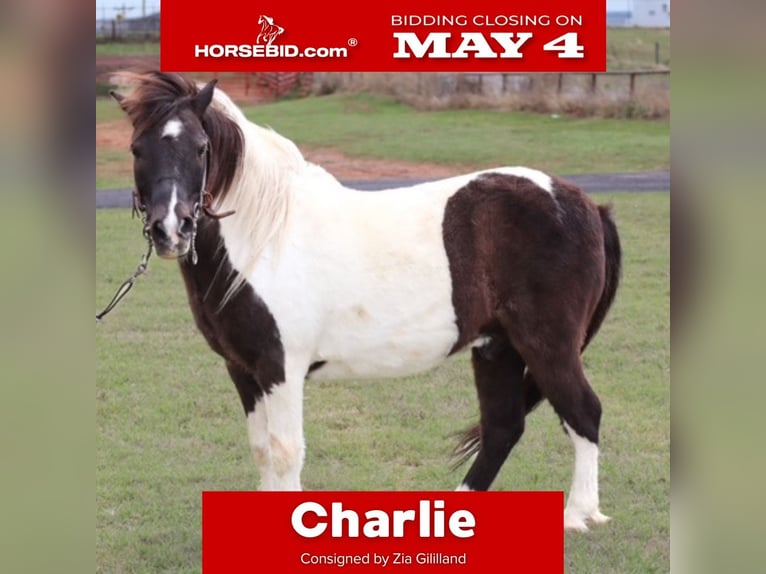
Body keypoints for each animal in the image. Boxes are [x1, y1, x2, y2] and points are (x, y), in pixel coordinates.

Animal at [109, 71, 621, 532]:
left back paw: (577, 515)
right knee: (502, 427)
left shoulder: (280, 368)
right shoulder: (243, 370)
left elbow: (285, 452)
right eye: (137, 149)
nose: (171, 229)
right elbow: (262, 451)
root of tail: (587, 206)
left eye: (200, 147)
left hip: (546, 344)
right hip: (498, 347)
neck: (266, 236)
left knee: (583, 413)